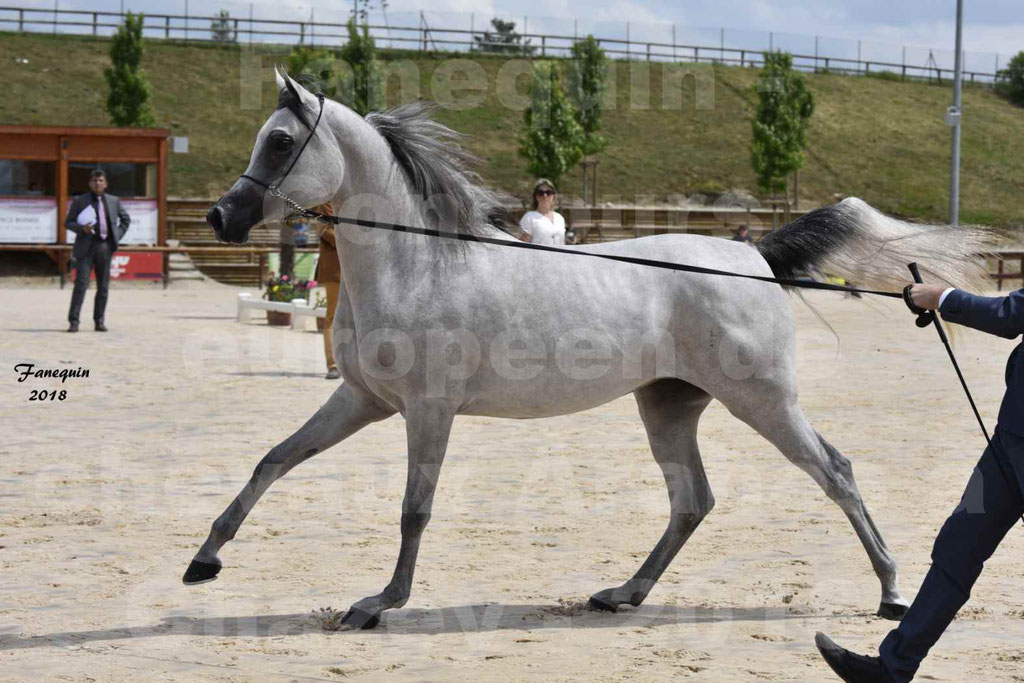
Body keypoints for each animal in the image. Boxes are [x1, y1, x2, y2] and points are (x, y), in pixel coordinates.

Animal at [186, 70, 991, 630]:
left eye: (281, 141)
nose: (222, 217)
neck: (417, 263)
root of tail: (753, 254)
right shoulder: (364, 399)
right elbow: (273, 460)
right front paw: (204, 561)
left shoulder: (428, 410)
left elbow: (415, 508)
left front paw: (380, 602)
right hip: (668, 407)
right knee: (693, 499)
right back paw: (622, 592)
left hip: (763, 400)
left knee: (835, 472)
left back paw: (891, 591)